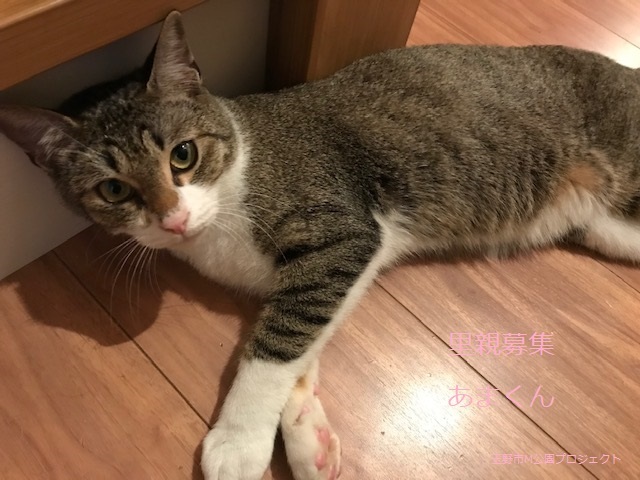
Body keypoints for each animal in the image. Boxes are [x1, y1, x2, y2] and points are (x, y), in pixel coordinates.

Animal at [2, 10, 640, 480]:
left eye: (183, 154)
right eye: (113, 189)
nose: (173, 220)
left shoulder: (342, 233)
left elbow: (274, 345)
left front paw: (238, 442)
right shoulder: (331, 270)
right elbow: (299, 341)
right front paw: (309, 438)